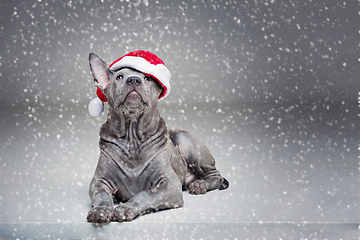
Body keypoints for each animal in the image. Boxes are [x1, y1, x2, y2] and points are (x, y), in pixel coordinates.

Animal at [86, 51, 229, 223]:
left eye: (147, 78)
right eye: (119, 77)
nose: (133, 80)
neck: (132, 138)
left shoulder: (170, 185)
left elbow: (146, 194)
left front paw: (126, 208)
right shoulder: (99, 182)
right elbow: (102, 196)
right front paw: (100, 210)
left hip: (187, 141)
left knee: (215, 176)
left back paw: (200, 185)